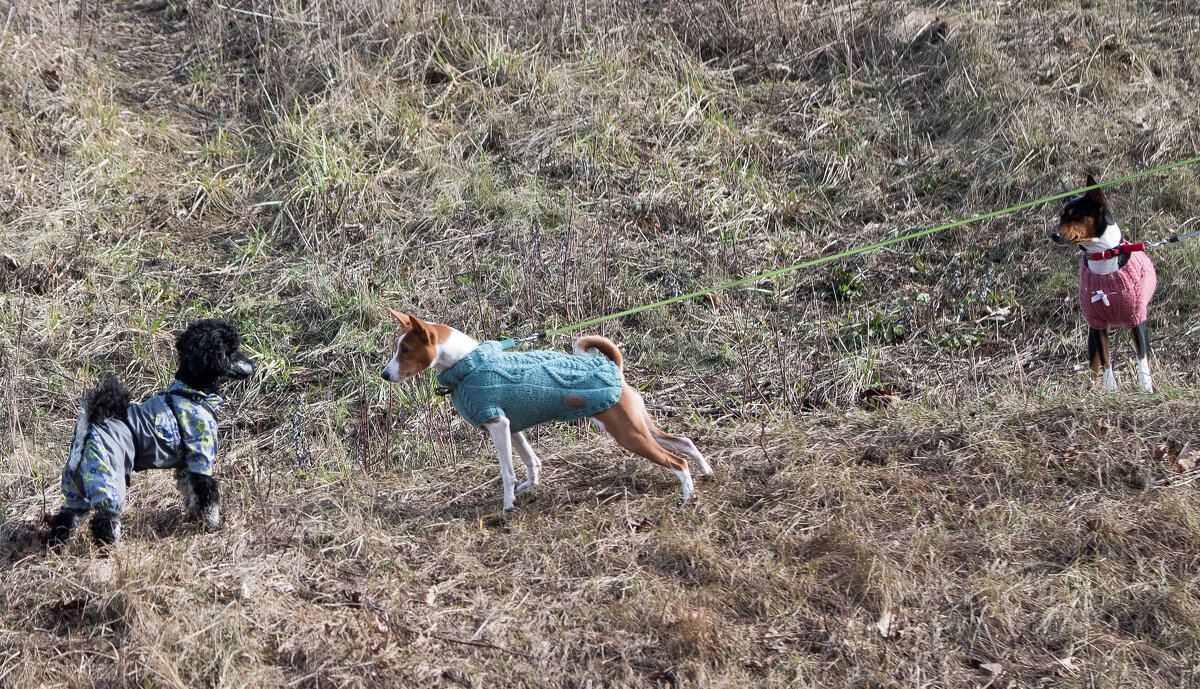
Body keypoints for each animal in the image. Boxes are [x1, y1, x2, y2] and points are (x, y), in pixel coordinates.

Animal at [45, 321, 255, 547]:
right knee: (104, 520)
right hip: (108, 479)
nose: (253, 365)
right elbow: (208, 497)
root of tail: (87, 432)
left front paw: (192, 515)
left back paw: (55, 545)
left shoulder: (185, 466)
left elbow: (189, 492)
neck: (192, 392)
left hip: (77, 487)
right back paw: (112, 550)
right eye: (230, 351)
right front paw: (212, 527)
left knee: (66, 517)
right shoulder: (200, 459)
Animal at [379, 309, 705, 511]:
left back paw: (687, 495)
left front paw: (507, 505)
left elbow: (507, 472)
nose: (384, 374)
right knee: (684, 442)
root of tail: (613, 367)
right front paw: (531, 486)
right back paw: (706, 469)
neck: (466, 365)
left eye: (405, 351)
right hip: (637, 425)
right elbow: (530, 460)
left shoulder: (497, 423)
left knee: (677, 461)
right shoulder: (510, 425)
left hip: (628, 433)